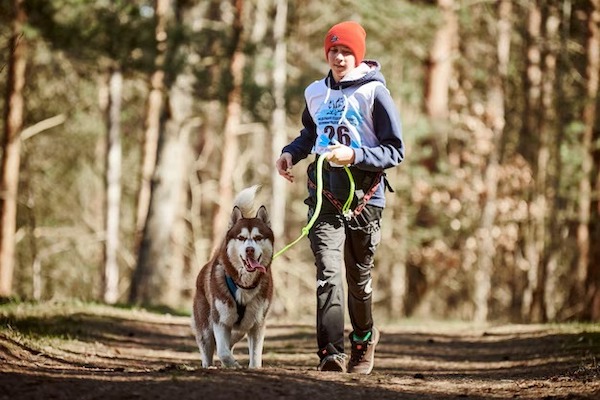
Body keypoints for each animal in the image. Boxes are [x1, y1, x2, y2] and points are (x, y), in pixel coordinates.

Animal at [192, 186, 274, 368]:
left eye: (258, 238)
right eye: (241, 238)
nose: (249, 249)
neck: (244, 285)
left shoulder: (257, 323)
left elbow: (255, 354)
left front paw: (252, 367)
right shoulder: (220, 321)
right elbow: (223, 352)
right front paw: (234, 365)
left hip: (240, 329)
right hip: (206, 327)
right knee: (210, 348)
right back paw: (209, 366)